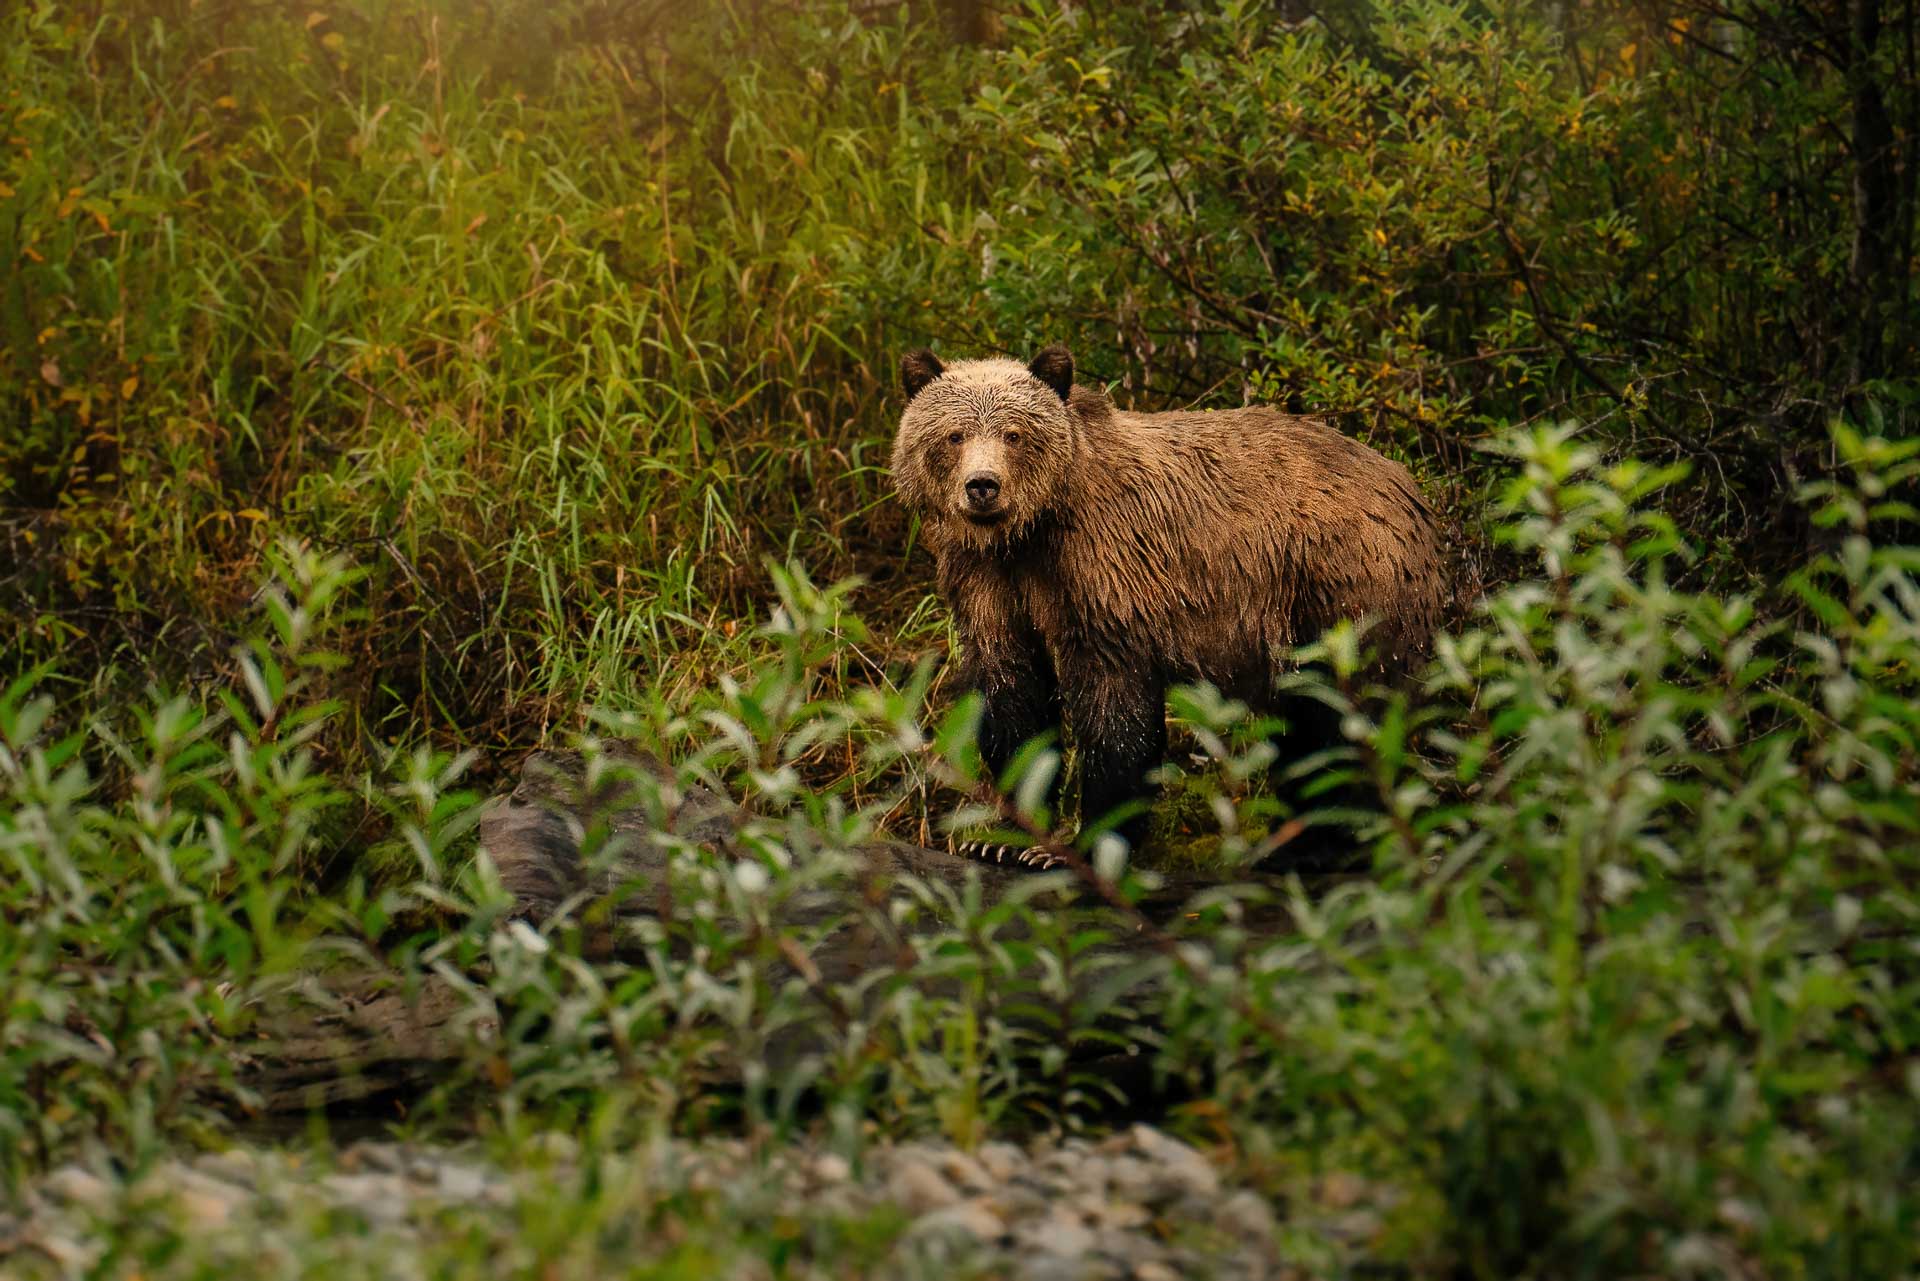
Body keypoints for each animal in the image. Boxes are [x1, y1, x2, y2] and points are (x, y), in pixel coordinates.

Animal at [894, 345, 1443, 856]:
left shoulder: (1105, 571)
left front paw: (1089, 841)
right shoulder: (986, 580)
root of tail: (1414, 489)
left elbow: (1113, 704)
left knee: (1348, 711)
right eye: (954, 435)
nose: (982, 487)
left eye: (1014, 434)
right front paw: (1005, 839)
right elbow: (1010, 691)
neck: (1030, 532)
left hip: (1341, 583)